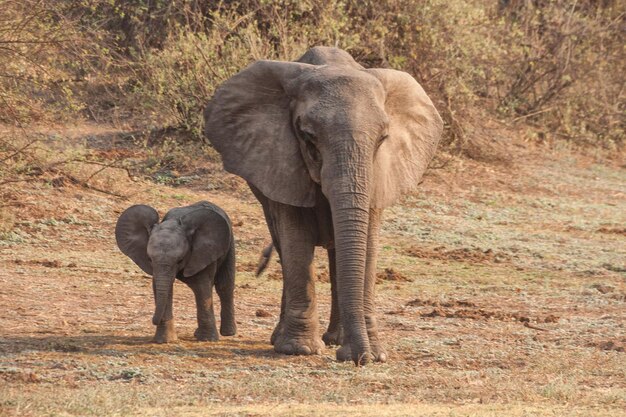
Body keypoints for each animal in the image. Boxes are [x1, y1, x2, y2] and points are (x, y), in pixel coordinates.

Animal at [116, 201, 235, 342]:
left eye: (180, 260)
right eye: (149, 259)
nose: (153, 320)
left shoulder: (203, 252)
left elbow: (202, 287)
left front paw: (208, 340)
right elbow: (161, 287)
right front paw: (164, 341)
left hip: (229, 244)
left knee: (224, 286)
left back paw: (228, 333)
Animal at [202, 46, 442, 364]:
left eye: (382, 139)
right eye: (308, 137)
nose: (357, 358)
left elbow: (367, 245)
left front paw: (375, 353)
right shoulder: (281, 161)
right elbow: (296, 240)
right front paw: (299, 349)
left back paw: (335, 339)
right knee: (285, 247)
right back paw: (289, 339)